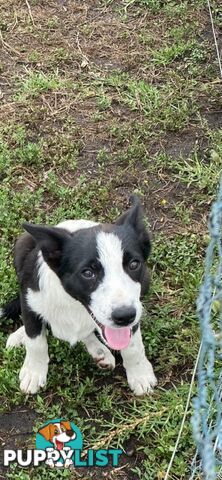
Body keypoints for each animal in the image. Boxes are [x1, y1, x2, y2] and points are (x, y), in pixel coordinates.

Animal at [2, 197, 158, 396]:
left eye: (133, 264)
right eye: (88, 273)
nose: (124, 316)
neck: (74, 303)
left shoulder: (135, 308)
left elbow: (133, 345)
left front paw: (139, 373)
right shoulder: (29, 298)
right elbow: (35, 340)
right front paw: (34, 372)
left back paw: (100, 351)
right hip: (22, 244)